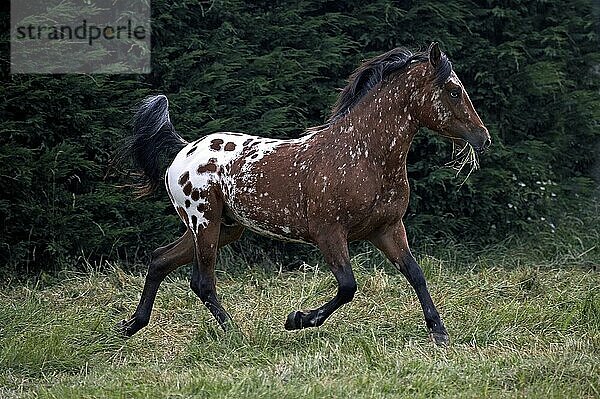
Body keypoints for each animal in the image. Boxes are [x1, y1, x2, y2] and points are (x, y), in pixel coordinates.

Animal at [117, 42, 492, 346]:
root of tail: (183, 149)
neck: (363, 154)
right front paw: (297, 320)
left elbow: (415, 273)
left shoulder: (386, 229)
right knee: (202, 281)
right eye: (454, 90)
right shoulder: (329, 233)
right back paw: (237, 333)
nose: (483, 138)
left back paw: (131, 325)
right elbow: (347, 286)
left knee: (160, 259)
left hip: (224, 227)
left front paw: (439, 332)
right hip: (204, 223)